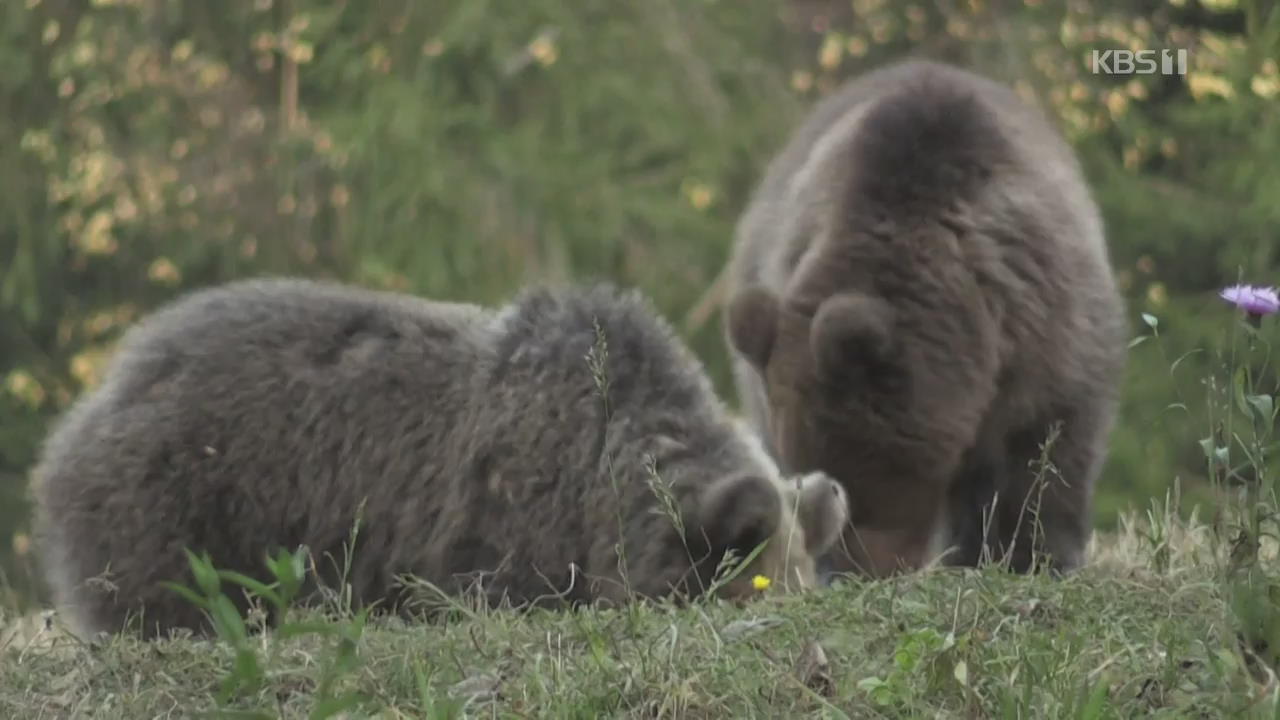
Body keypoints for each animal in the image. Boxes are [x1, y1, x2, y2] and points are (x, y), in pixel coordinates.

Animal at [727, 60, 1126, 576]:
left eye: (862, 486)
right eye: (813, 465)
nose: (847, 571)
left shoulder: (1049, 323)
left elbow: (1049, 449)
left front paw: (1033, 554)